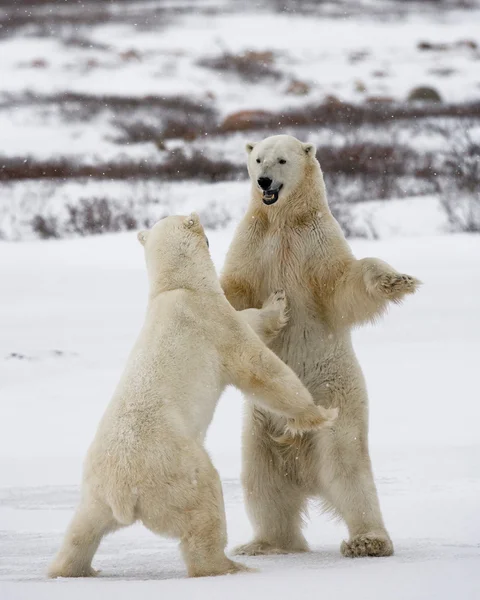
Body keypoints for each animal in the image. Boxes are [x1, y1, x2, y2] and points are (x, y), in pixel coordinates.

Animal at [47, 213, 336, 580]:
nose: (200, 221)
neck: (177, 288)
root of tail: (124, 494)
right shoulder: (213, 321)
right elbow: (259, 363)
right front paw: (319, 413)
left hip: (95, 492)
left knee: (82, 529)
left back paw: (72, 569)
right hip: (178, 471)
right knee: (204, 505)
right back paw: (227, 565)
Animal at [222, 135, 420, 556]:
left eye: (282, 160)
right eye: (257, 159)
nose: (264, 182)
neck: (282, 222)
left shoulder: (315, 241)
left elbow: (344, 283)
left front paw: (396, 280)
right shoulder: (252, 242)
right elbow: (234, 289)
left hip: (335, 400)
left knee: (347, 470)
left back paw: (368, 541)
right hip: (259, 424)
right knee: (261, 481)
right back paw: (266, 544)